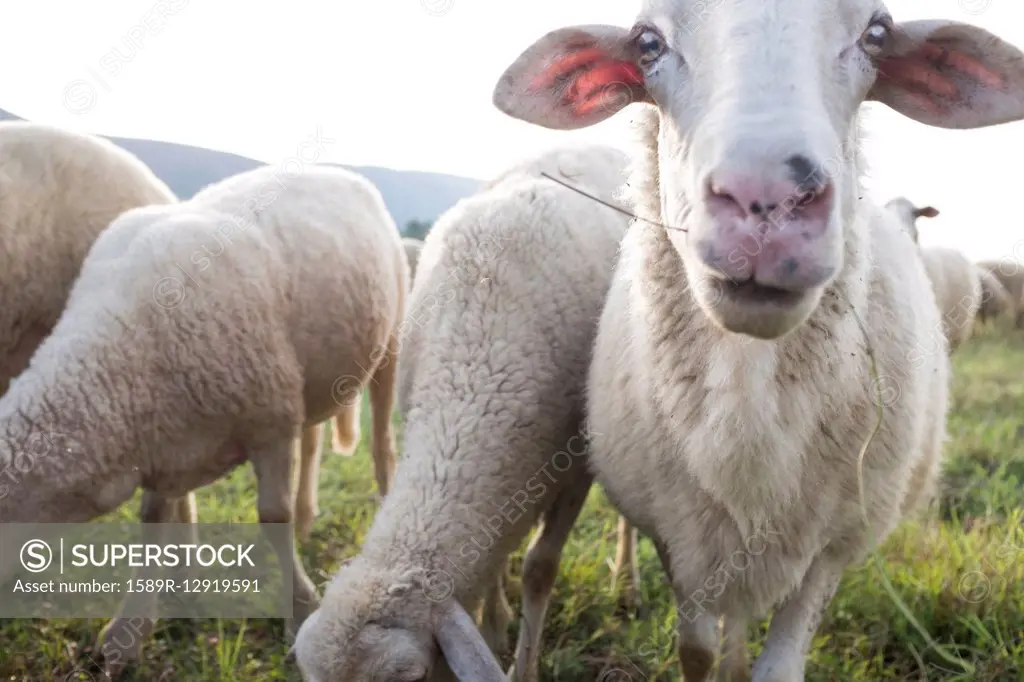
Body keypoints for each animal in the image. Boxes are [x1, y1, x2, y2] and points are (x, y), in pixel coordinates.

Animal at [0, 163, 407, 667]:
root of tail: (336, 171)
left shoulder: (271, 421)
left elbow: (273, 518)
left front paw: (300, 611)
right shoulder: (161, 442)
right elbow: (153, 523)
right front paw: (129, 631)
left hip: (389, 344)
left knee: (382, 444)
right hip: (314, 377)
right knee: (313, 441)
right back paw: (308, 516)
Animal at [292, 143, 630, 679]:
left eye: (410, 678)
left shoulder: (576, 467)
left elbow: (540, 568)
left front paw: (523, 666)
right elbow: (491, 561)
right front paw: (493, 623)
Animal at [495, 6, 1024, 679]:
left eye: (877, 34)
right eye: (648, 43)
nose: (767, 196)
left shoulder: (832, 545)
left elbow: (778, 665)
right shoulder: (681, 538)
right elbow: (695, 650)